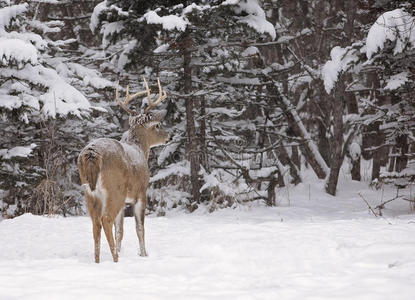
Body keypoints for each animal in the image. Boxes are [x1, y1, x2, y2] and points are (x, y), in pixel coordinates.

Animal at [78, 77, 169, 262]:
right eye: (158, 125)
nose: (168, 137)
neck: (140, 149)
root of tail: (92, 154)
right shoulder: (141, 193)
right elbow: (139, 228)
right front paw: (144, 254)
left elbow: (119, 230)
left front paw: (122, 251)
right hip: (115, 190)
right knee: (106, 219)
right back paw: (114, 259)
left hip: (89, 191)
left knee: (95, 223)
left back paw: (98, 260)